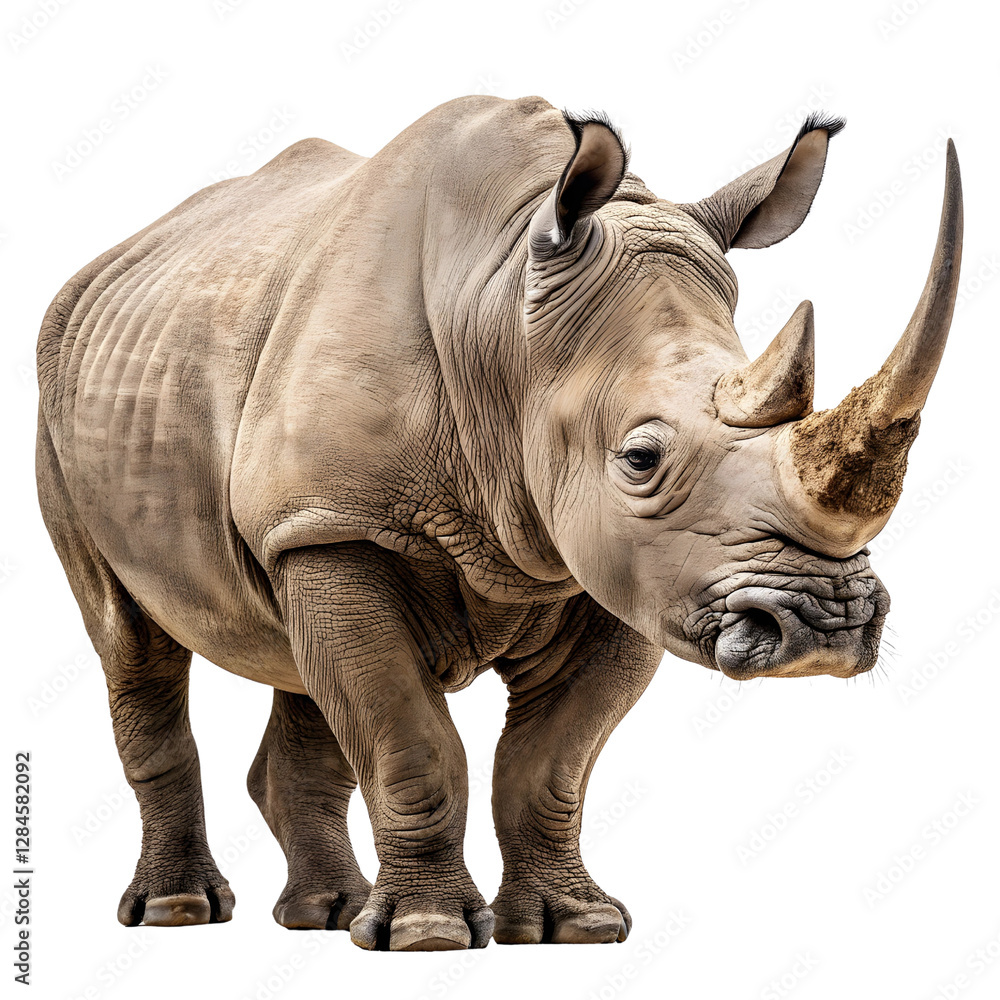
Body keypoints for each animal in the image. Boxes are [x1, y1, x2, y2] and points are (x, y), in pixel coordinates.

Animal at [35, 95, 962, 951]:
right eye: (640, 459)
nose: (826, 627)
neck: (501, 317)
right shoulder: (343, 522)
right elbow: (410, 743)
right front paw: (427, 933)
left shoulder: (620, 567)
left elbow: (550, 764)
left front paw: (573, 925)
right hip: (61, 398)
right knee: (131, 642)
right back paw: (179, 912)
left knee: (297, 660)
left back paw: (324, 915)